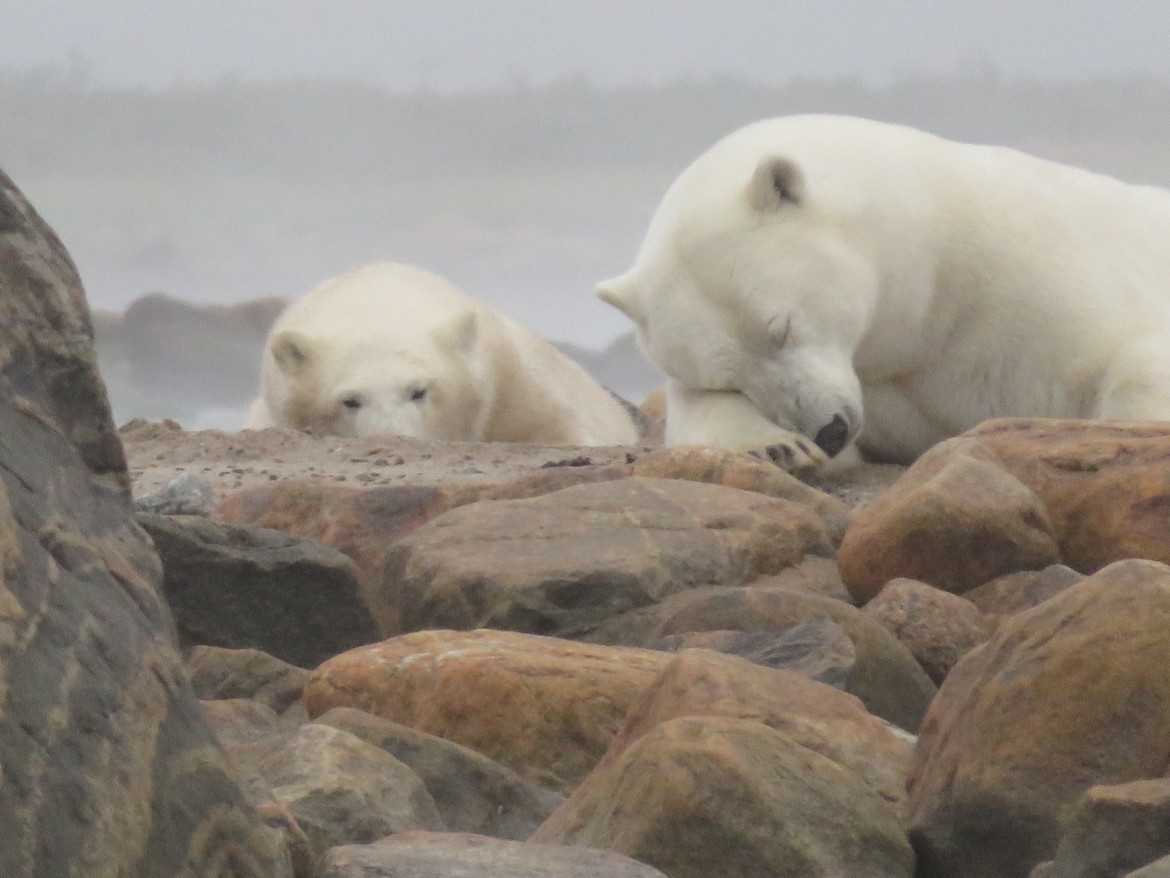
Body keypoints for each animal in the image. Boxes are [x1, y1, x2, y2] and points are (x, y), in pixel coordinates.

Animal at [597, 113, 1170, 470]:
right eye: (728, 377)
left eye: (781, 327)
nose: (826, 431)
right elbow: (690, 412)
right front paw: (778, 447)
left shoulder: (1035, 268)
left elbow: (1132, 359)